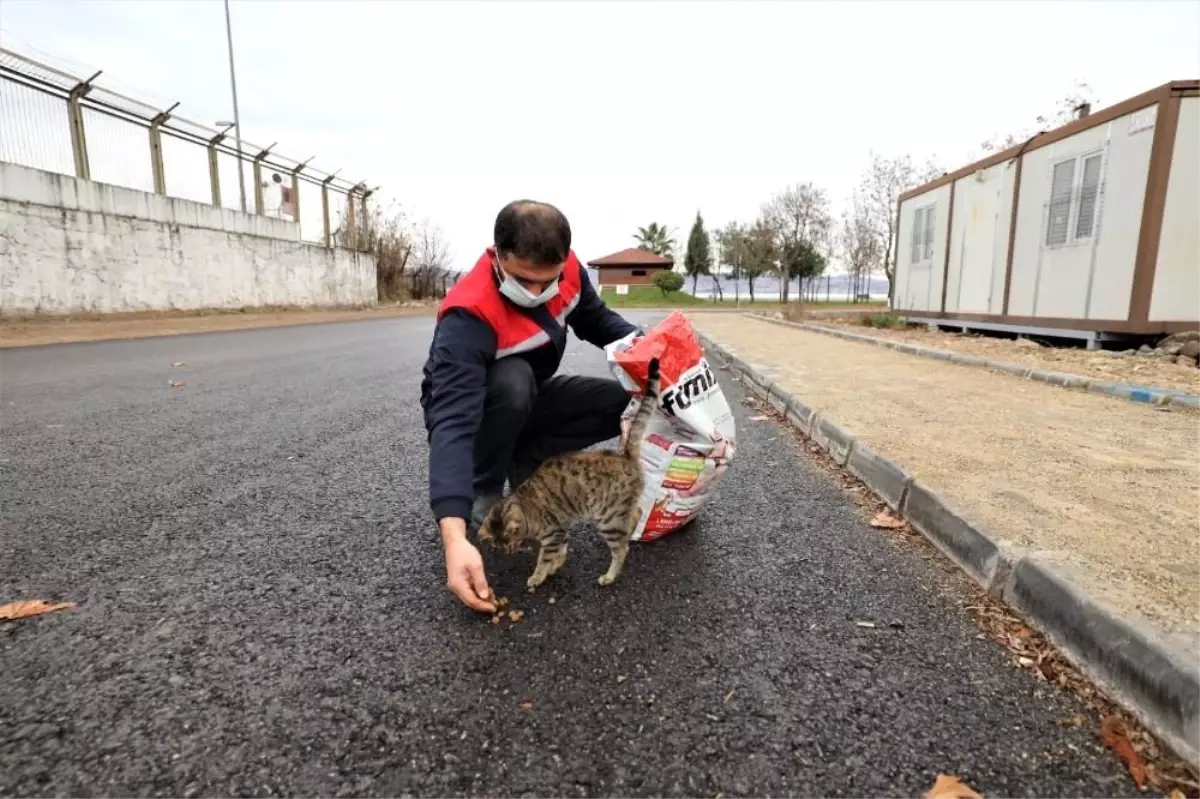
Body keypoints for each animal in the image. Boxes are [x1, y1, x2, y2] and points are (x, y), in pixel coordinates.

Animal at [480, 357, 667, 587]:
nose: (508, 553)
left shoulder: (552, 533)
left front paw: (538, 576)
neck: (527, 509)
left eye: (510, 542)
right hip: (620, 510)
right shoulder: (561, 528)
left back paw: (609, 576)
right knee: (637, 513)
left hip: (608, 518)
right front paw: (555, 566)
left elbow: (544, 558)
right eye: (498, 546)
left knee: (622, 549)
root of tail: (625, 454)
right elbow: (561, 550)